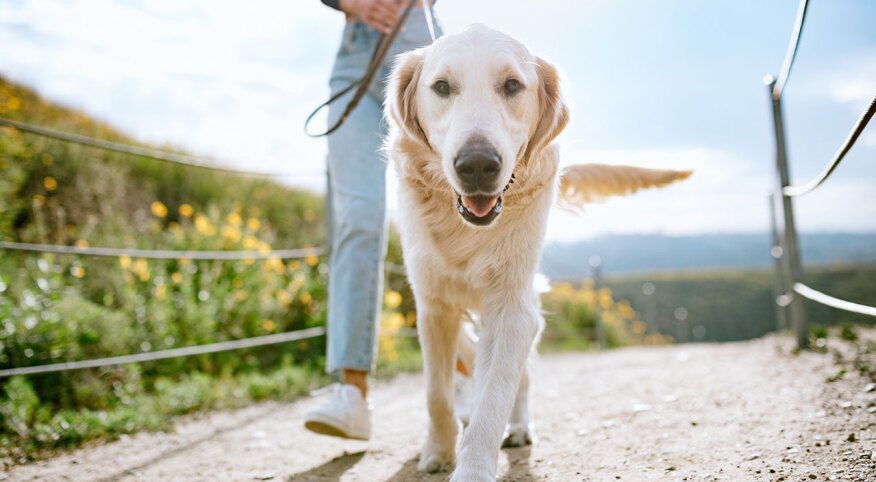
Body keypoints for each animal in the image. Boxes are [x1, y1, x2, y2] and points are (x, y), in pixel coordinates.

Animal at [386, 24, 688, 480]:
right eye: (441, 87)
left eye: (512, 85)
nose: (477, 165)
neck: (465, 230)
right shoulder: (433, 305)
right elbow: (435, 392)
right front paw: (438, 451)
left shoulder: (512, 305)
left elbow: (495, 394)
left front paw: (473, 466)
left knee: (520, 377)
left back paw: (519, 426)